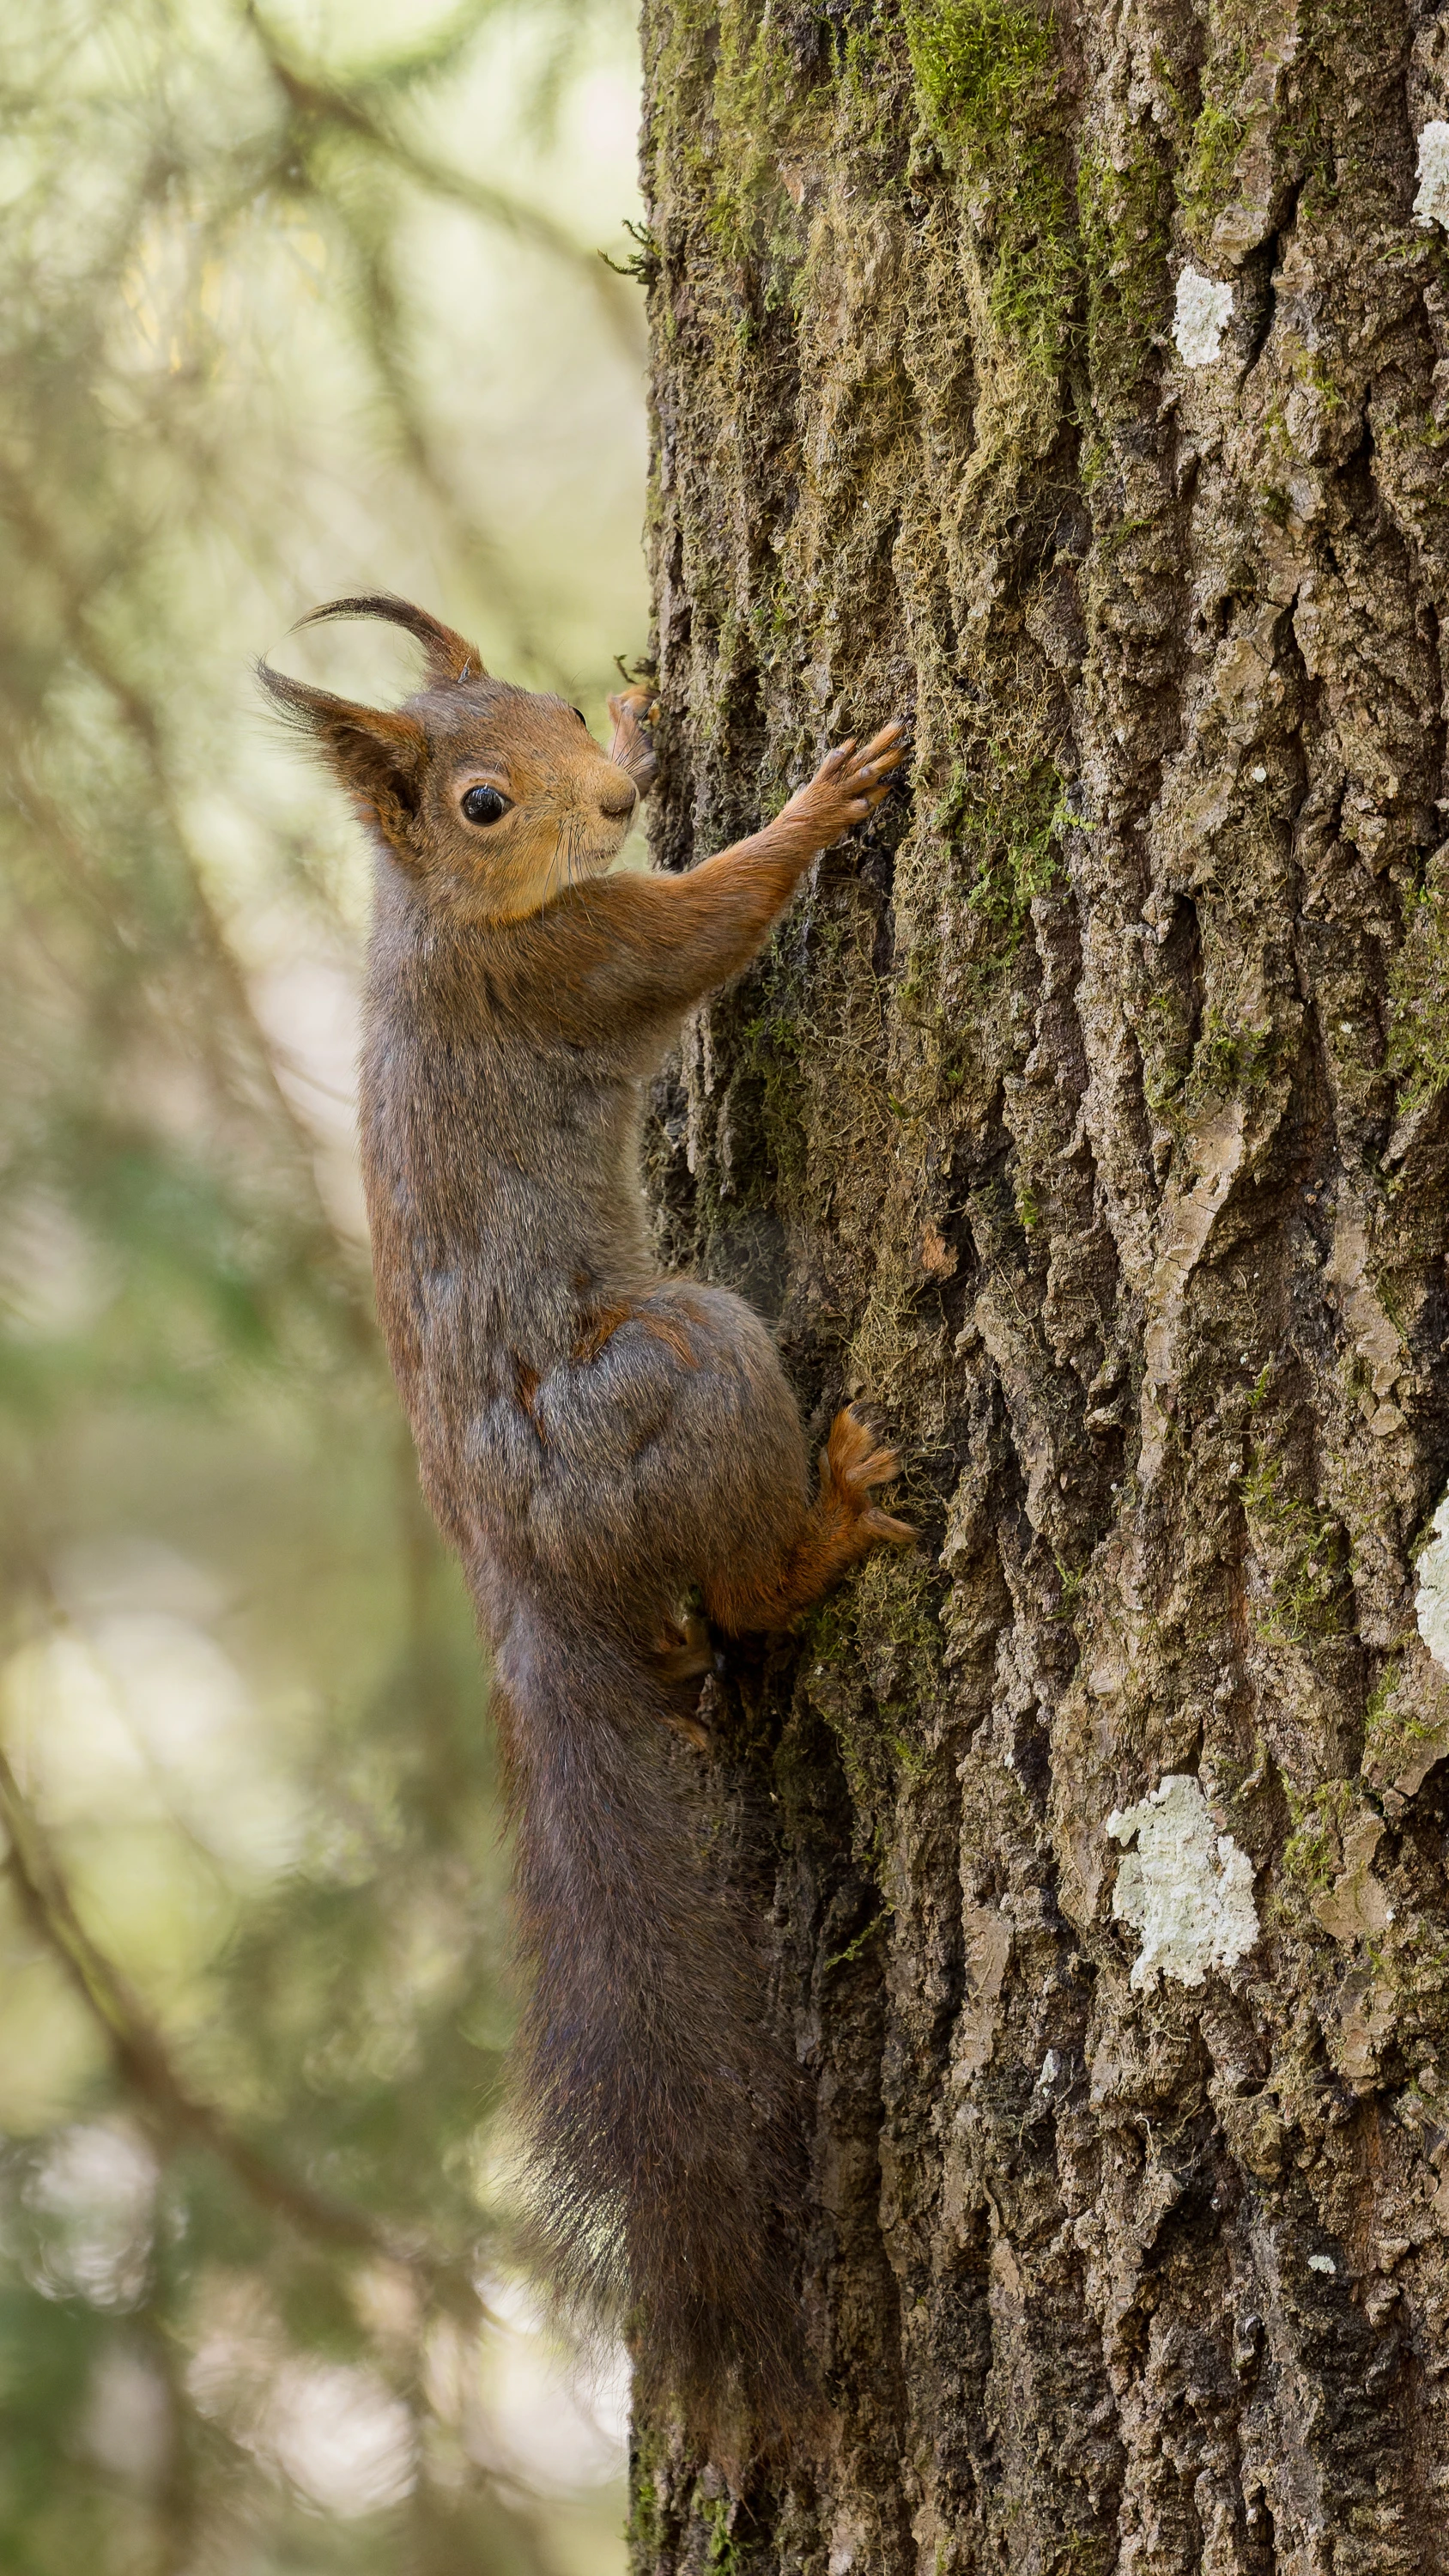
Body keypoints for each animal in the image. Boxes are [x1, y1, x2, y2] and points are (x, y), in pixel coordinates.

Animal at [260, 594, 912, 2448]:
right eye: (481, 805)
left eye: (551, 707)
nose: (619, 797)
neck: (438, 920)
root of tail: (516, 1570)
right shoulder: (579, 963)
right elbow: (703, 927)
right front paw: (813, 803)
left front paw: (652, 712)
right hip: (679, 1367)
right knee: (751, 1587)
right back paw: (821, 1530)